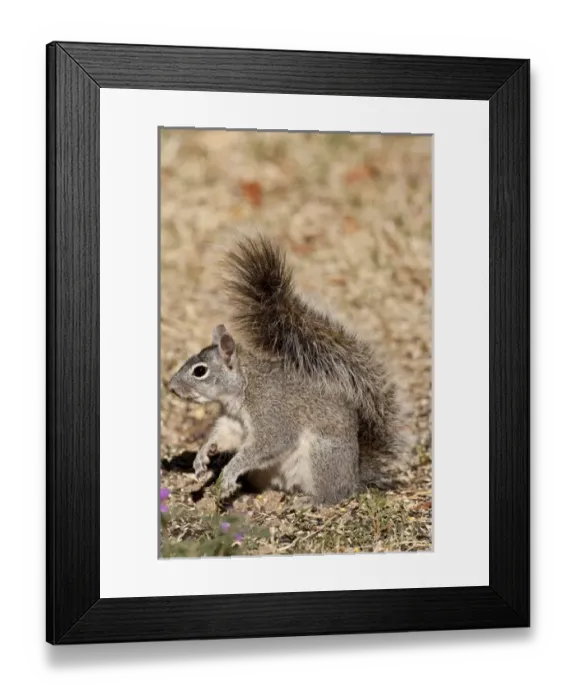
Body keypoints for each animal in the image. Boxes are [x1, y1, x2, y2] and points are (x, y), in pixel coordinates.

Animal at [168, 235, 407, 505]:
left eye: (200, 371)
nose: (172, 387)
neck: (245, 387)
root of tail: (354, 477)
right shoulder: (233, 421)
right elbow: (224, 435)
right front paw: (203, 455)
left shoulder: (273, 413)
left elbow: (269, 444)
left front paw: (228, 472)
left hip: (322, 456)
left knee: (334, 494)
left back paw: (313, 500)